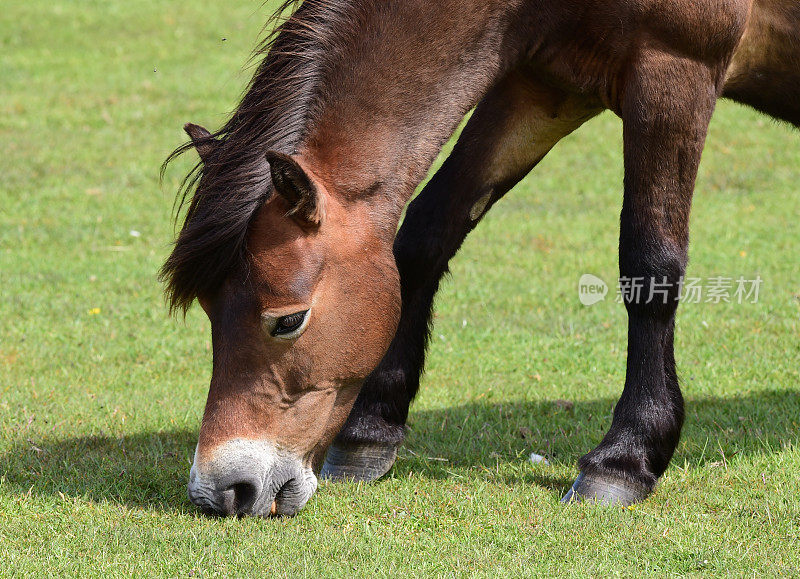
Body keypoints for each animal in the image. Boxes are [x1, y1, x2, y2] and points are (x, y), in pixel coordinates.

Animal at [162, 0, 800, 516]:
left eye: (289, 320)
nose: (221, 490)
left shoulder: (675, 70)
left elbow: (649, 264)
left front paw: (625, 457)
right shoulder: (540, 89)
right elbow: (426, 234)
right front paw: (372, 430)